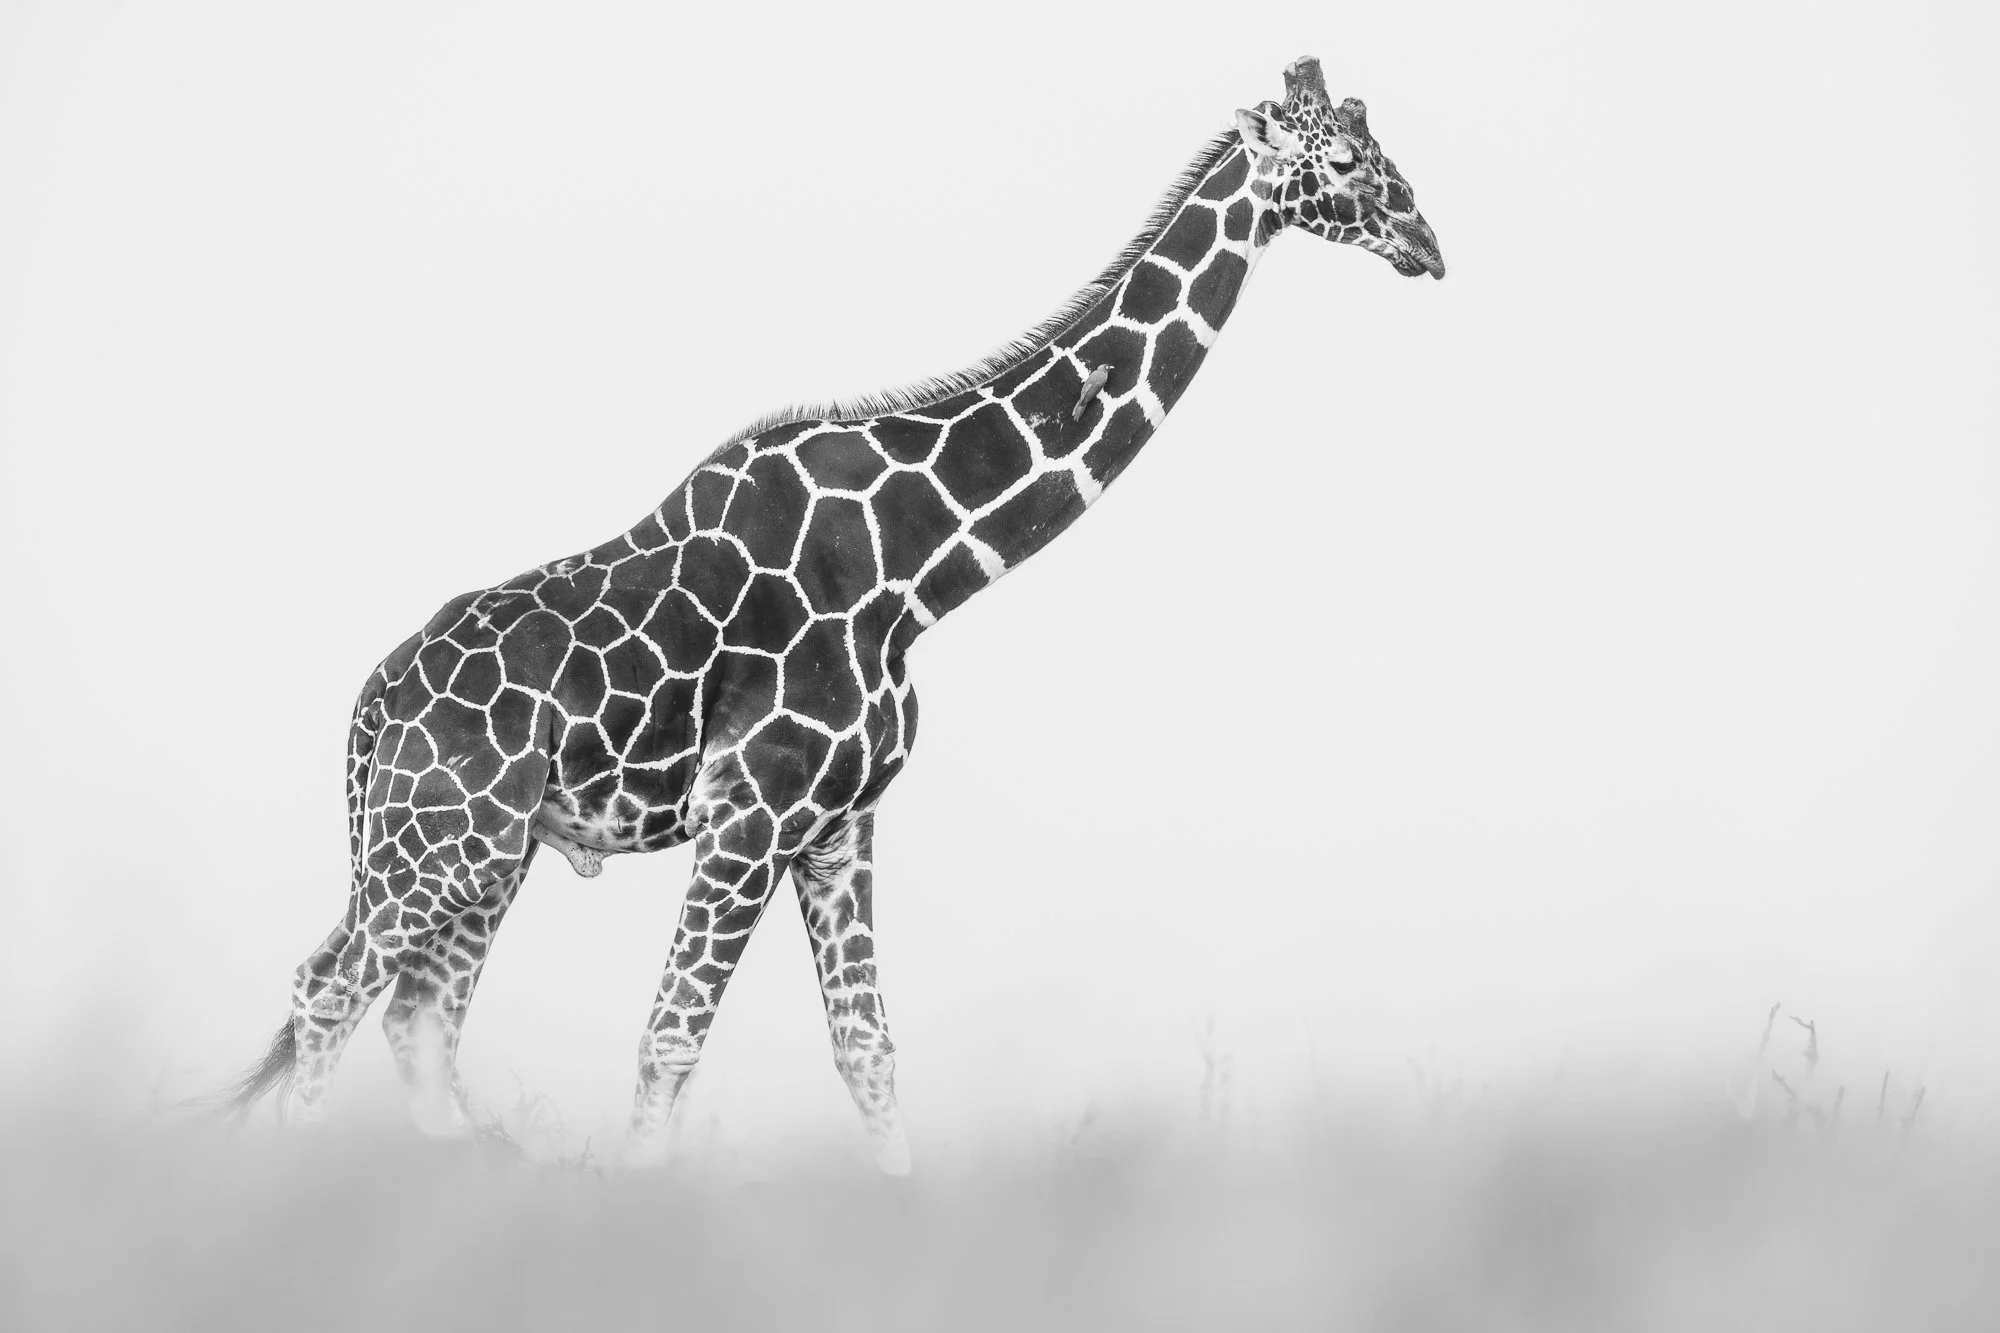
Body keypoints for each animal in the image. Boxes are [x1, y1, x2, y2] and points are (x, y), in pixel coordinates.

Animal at [221, 56, 1444, 1174]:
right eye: (1342, 161)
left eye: (1376, 145)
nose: (1427, 244)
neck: (914, 570)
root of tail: (371, 706)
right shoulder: (747, 813)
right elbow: (669, 1041)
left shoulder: (839, 823)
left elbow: (868, 1050)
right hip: (442, 838)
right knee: (330, 989)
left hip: (484, 851)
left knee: (416, 1015)